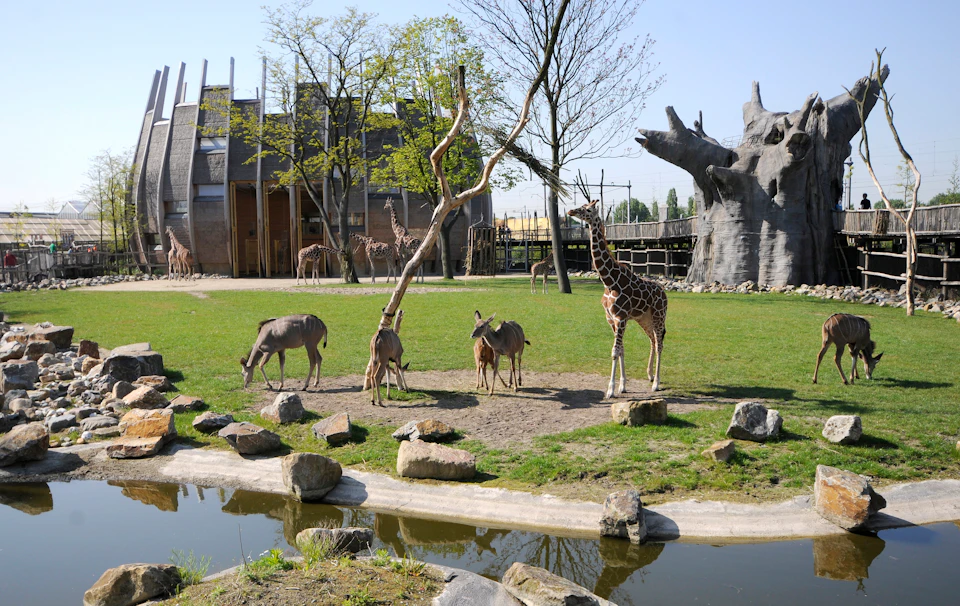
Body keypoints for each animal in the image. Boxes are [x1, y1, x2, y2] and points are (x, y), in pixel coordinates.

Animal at [567, 200, 668, 395]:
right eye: (582, 206)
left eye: (588, 209)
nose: (570, 211)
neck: (609, 280)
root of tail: (664, 292)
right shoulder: (611, 319)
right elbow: (621, 349)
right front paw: (622, 385)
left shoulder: (620, 317)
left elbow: (615, 351)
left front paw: (611, 389)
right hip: (644, 318)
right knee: (652, 340)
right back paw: (650, 375)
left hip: (659, 315)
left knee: (660, 343)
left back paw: (656, 383)